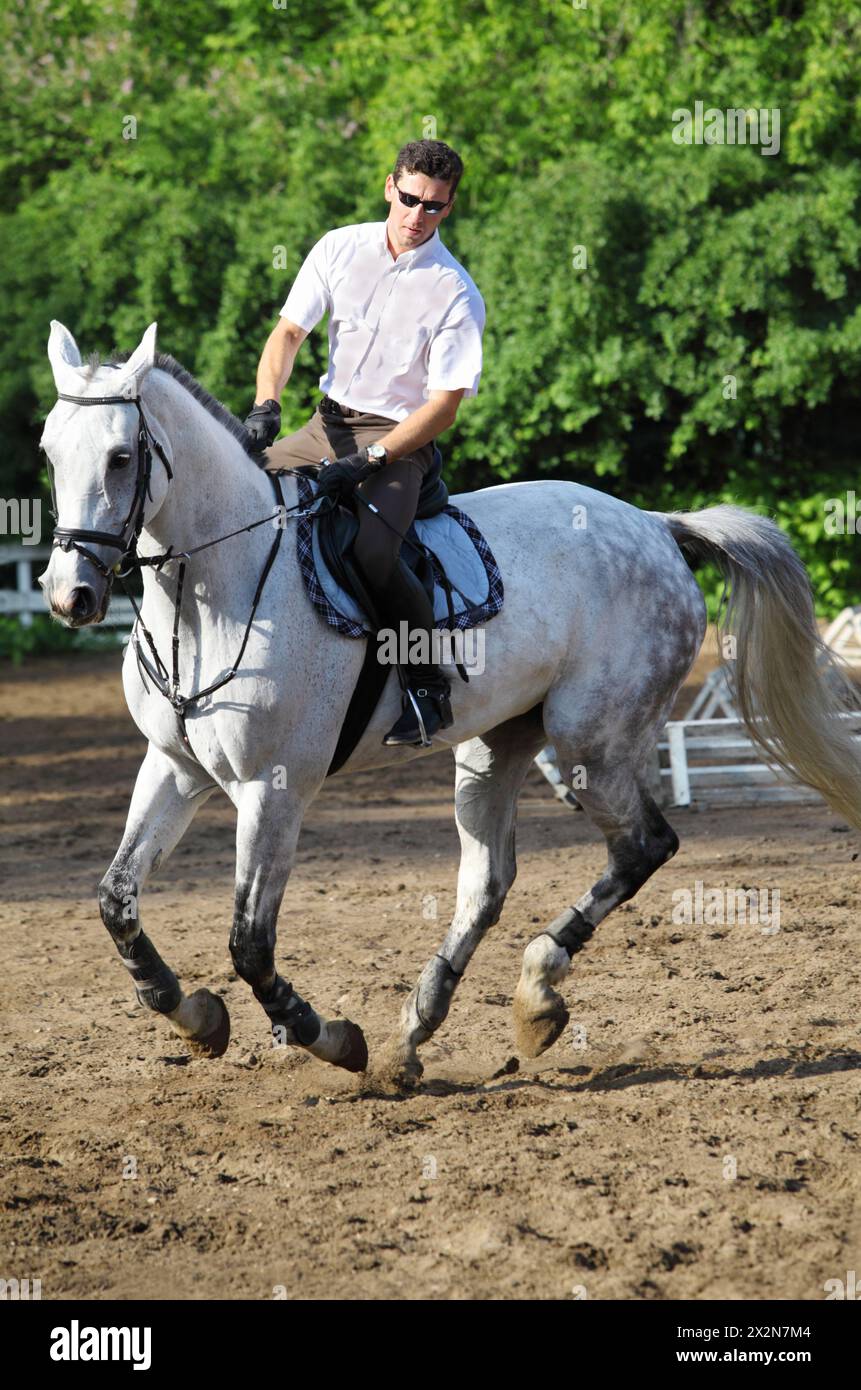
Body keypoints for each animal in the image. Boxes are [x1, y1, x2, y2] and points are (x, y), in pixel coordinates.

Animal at [38, 322, 861, 1084]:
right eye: (50, 453)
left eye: (121, 457)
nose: (70, 595)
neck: (216, 589)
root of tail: (657, 526)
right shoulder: (174, 767)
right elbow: (115, 899)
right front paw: (193, 1014)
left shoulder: (273, 789)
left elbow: (249, 944)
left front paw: (330, 1039)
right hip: (495, 744)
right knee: (488, 882)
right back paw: (416, 1031)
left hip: (589, 745)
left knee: (641, 846)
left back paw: (534, 994)